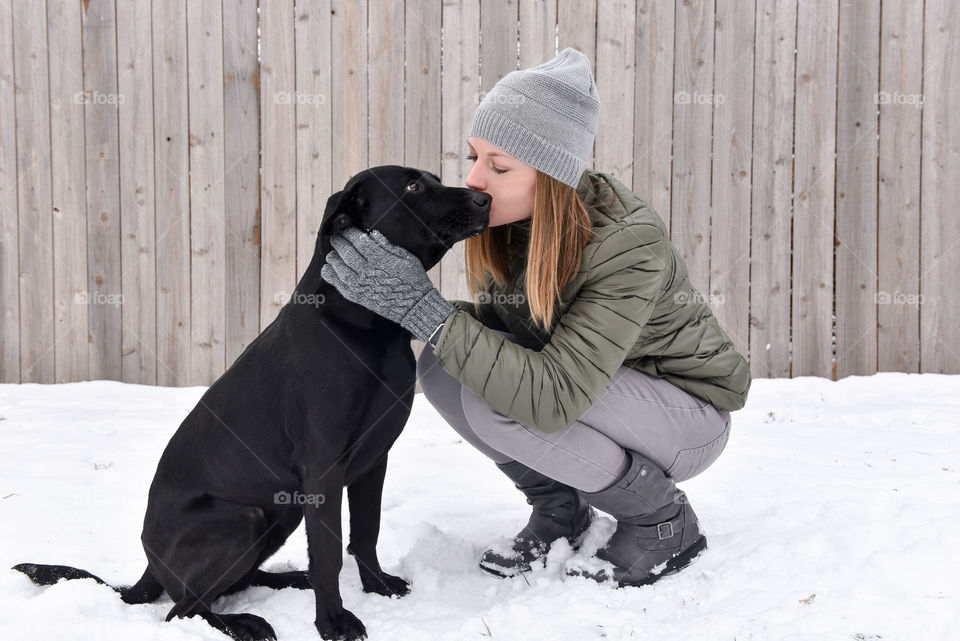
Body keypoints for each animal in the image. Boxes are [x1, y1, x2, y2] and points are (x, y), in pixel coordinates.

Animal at [14, 166, 492, 640]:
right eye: (412, 186)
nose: (485, 199)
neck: (363, 324)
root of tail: (149, 568)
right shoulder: (324, 468)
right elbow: (330, 553)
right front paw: (333, 623)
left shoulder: (373, 461)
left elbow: (365, 534)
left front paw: (378, 588)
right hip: (246, 519)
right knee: (183, 610)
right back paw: (244, 623)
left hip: (282, 513)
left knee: (232, 584)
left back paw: (290, 579)